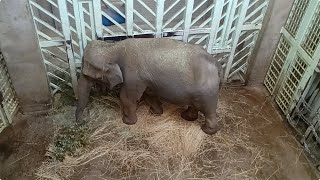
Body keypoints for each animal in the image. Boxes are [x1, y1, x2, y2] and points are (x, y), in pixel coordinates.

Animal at [76, 39, 224, 135]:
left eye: (90, 75)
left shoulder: (133, 75)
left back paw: (208, 130)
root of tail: (216, 63)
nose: (82, 122)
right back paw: (187, 117)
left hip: (208, 91)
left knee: (208, 110)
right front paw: (155, 113)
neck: (112, 47)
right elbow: (149, 94)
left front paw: (127, 122)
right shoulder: (146, 79)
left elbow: (126, 97)